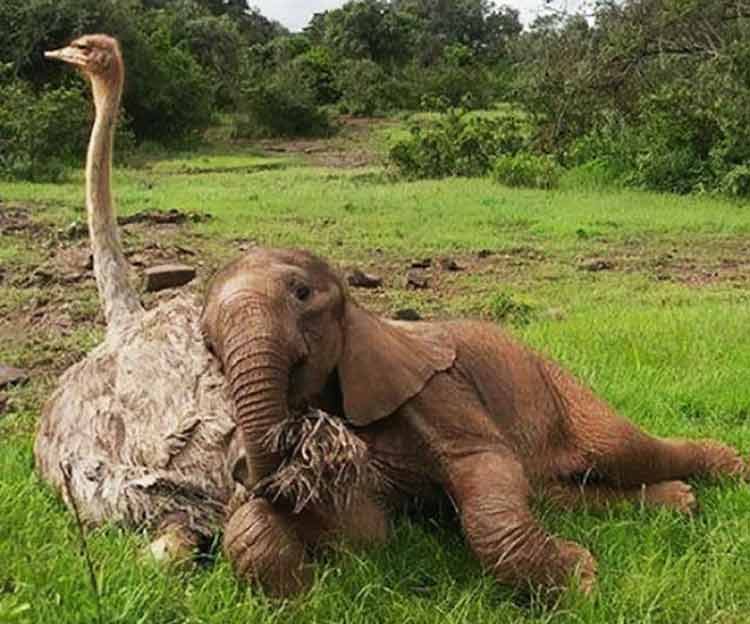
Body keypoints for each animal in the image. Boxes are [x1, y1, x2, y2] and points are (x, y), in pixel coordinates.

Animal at [202, 247, 747, 598]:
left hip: (556, 386)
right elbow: (365, 530)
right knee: (550, 490)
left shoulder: (438, 390)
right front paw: (305, 590)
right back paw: (681, 501)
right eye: (208, 341)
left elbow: (484, 467)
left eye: (301, 293)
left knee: (621, 450)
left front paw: (583, 581)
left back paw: (728, 469)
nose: (243, 472)